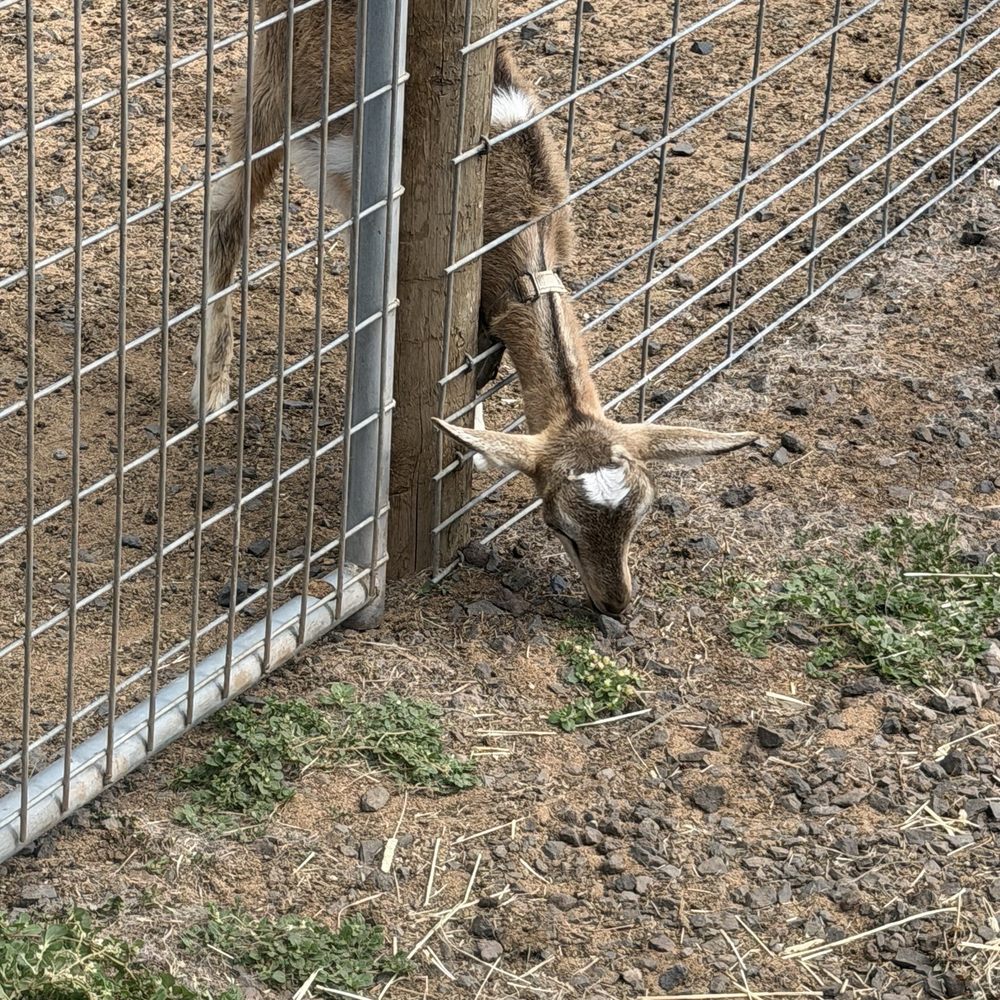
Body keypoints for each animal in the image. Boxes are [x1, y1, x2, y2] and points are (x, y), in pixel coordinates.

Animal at [196, 7, 756, 615]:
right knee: (225, 219)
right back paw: (211, 393)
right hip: (270, 91)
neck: (519, 223)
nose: (616, 605)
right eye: (558, 525)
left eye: (644, 511)